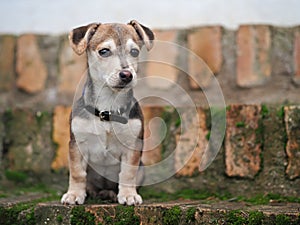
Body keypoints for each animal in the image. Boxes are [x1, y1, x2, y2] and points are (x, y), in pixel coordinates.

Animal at [61, 20, 155, 206]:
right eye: (104, 51)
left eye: (134, 52)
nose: (127, 75)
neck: (108, 108)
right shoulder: (77, 145)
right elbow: (77, 173)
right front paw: (74, 194)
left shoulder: (132, 146)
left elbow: (127, 173)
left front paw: (128, 195)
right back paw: (93, 192)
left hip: (142, 169)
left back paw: (110, 194)